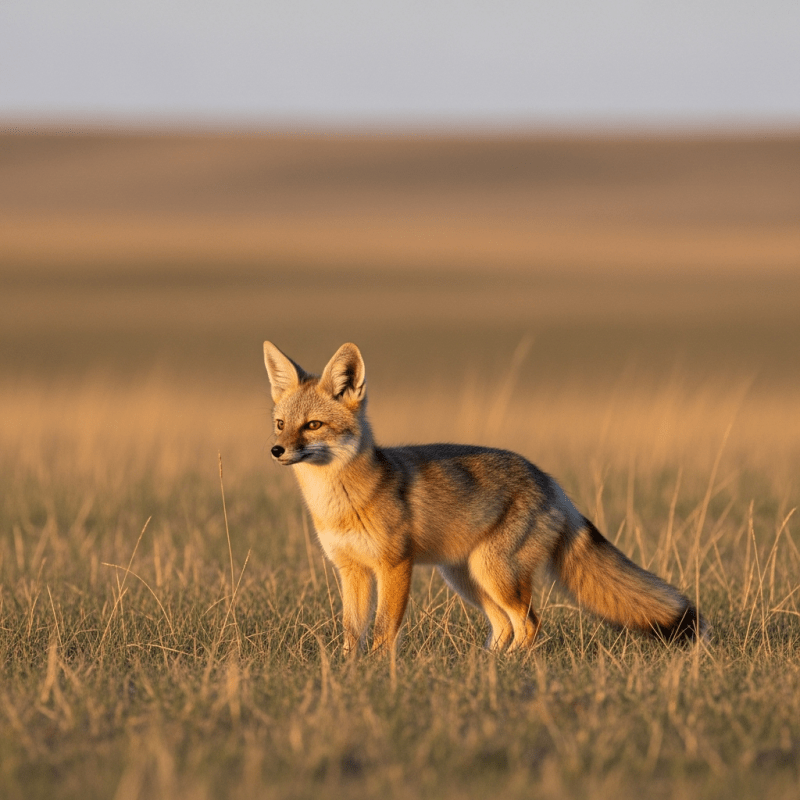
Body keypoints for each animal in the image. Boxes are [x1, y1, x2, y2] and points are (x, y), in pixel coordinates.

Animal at [263, 341, 706, 654]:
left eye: (313, 425)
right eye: (281, 424)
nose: (276, 450)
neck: (339, 505)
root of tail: (550, 481)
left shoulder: (394, 566)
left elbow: (384, 631)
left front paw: (379, 673)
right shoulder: (351, 570)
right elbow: (352, 633)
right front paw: (350, 673)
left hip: (494, 573)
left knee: (529, 624)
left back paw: (511, 667)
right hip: (467, 577)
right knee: (504, 626)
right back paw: (488, 665)